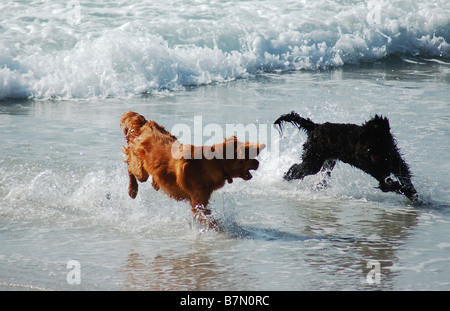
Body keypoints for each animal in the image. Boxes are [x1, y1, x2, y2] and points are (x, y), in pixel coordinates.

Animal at [274, 111, 418, 202]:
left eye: (377, 138)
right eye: (366, 138)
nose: (368, 150)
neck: (382, 155)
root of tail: (315, 127)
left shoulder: (396, 164)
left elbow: (404, 178)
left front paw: (413, 194)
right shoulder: (380, 174)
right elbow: (391, 185)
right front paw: (409, 193)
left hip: (327, 161)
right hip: (313, 160)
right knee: (296, 169)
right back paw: (284, 179)